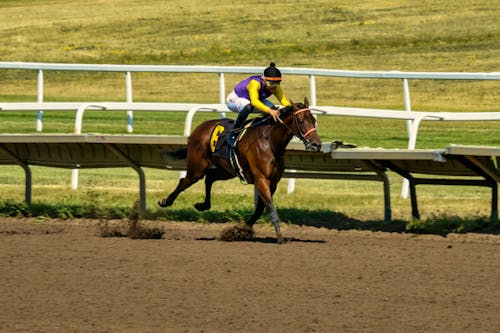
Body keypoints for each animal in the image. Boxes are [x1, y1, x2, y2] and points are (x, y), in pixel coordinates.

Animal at [158, 97, 322, 243]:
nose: (317, 144)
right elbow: (270, 209)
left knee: (210, 178)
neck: (270, 142)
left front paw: (239, 230)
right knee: (184, 181)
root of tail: (198, 129)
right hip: (197, 168)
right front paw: (280, 238)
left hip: (227, 170)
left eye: (314, 120)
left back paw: (203, 205)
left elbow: (260, 210)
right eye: (300, 121)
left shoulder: (272, 183)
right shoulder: (261, 180)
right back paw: (165, 201)